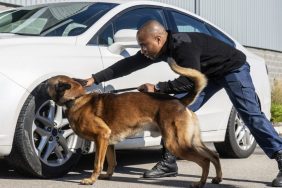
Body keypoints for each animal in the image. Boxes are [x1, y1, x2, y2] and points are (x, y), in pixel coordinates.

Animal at [46, 61, 223, 187]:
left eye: (47, 84)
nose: (41, 84)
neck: (76, 98)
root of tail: (179, 101)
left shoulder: (101, 137)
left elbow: (98, 163)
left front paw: (91, 180)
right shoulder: (107, 142)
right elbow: (111, 162)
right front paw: (108, 176)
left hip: (176, 144)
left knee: (204, 160)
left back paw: (200, 183)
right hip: (192, 141)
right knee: (213, 155)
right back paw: (217, 178)